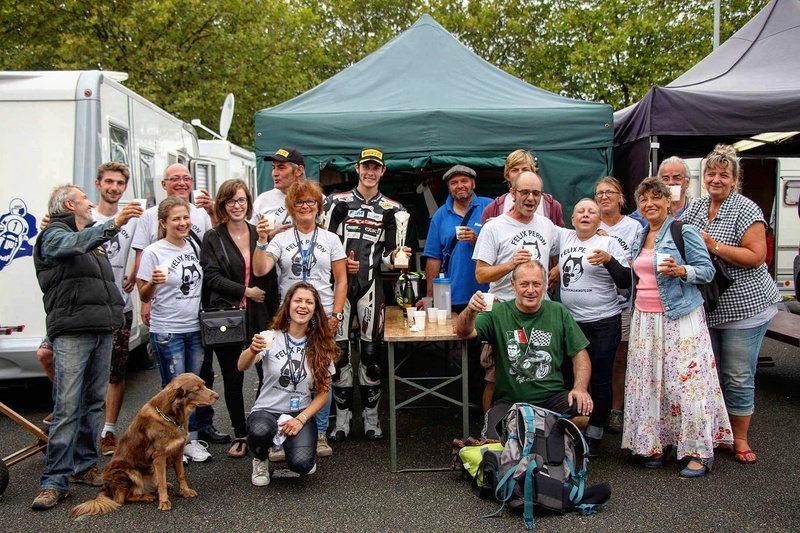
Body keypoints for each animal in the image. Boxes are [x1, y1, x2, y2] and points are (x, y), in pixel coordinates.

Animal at [69, 372, 217, 512]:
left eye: (204, 384)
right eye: (197, 389)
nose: (217, 396)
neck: (170, 415)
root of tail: (106, 488)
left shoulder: (177, 450)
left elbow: (180, 475)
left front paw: (185, 491)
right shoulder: (159, 455)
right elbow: (162, 481)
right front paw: (164, 501)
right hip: (127, 472)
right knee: (122, 499)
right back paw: (145, 496)